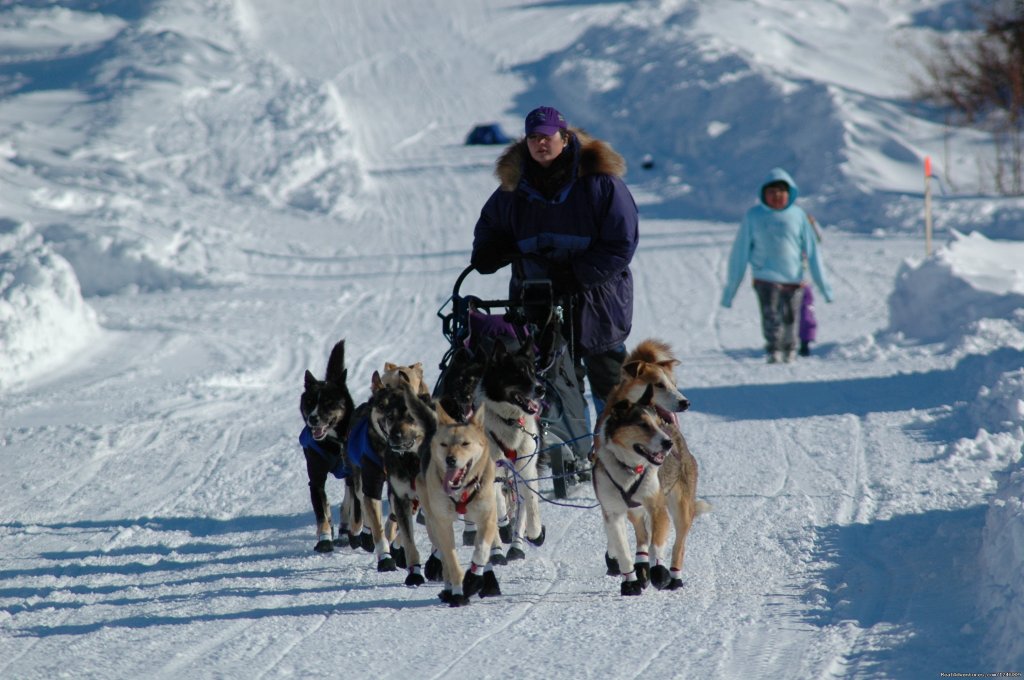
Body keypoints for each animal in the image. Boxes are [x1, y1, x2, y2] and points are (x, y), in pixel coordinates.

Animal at [299, 337, 358, 553]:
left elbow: (352, 508)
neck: (334, 443)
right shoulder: (316, 479)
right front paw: (324, 538)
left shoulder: (353, 475)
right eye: (309, 402)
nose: (313, 418)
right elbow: (321, 512)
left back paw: (344, 533)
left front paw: (350, 533)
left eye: (328, 402)